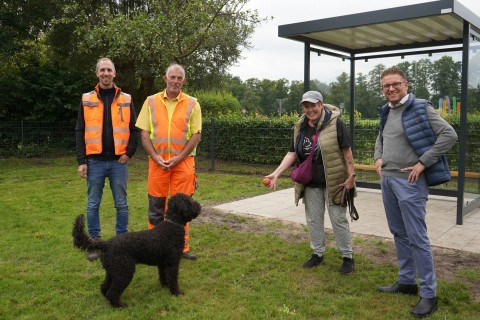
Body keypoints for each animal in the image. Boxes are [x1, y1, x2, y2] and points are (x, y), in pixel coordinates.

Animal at [71, 192, 201, 308]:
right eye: (190, 202)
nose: (199, 206)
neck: (172, 225)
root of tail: (106, 244)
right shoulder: (172, 263)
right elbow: (173, 279)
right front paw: (177, 292)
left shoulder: (162, 263)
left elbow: (163, 275)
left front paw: (165, 285)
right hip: (124, 271)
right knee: (112, 292)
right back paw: (120, 305)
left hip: (113, 271)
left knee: (104, 287)